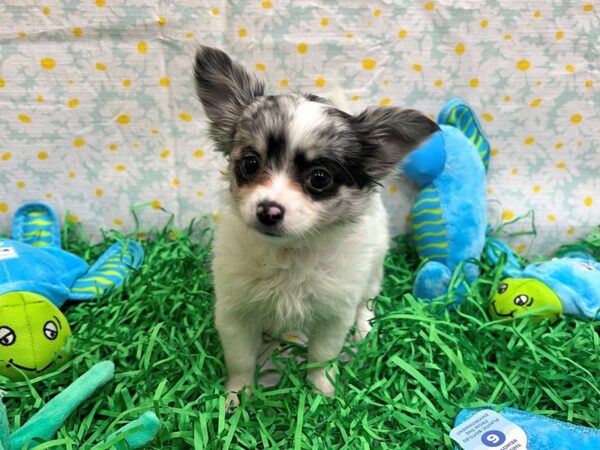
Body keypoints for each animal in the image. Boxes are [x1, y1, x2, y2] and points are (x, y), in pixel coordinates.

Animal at [195, 46, 438, 404]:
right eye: (249, 164)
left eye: (319, 179)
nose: (268, 210)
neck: (290, 254)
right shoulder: (234, 312)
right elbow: (240, 361)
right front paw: (237, 397)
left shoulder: (333, 315)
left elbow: (322, 357)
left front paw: (322, 393)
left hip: (373, 268)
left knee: (367, 301)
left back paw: (365, 329)